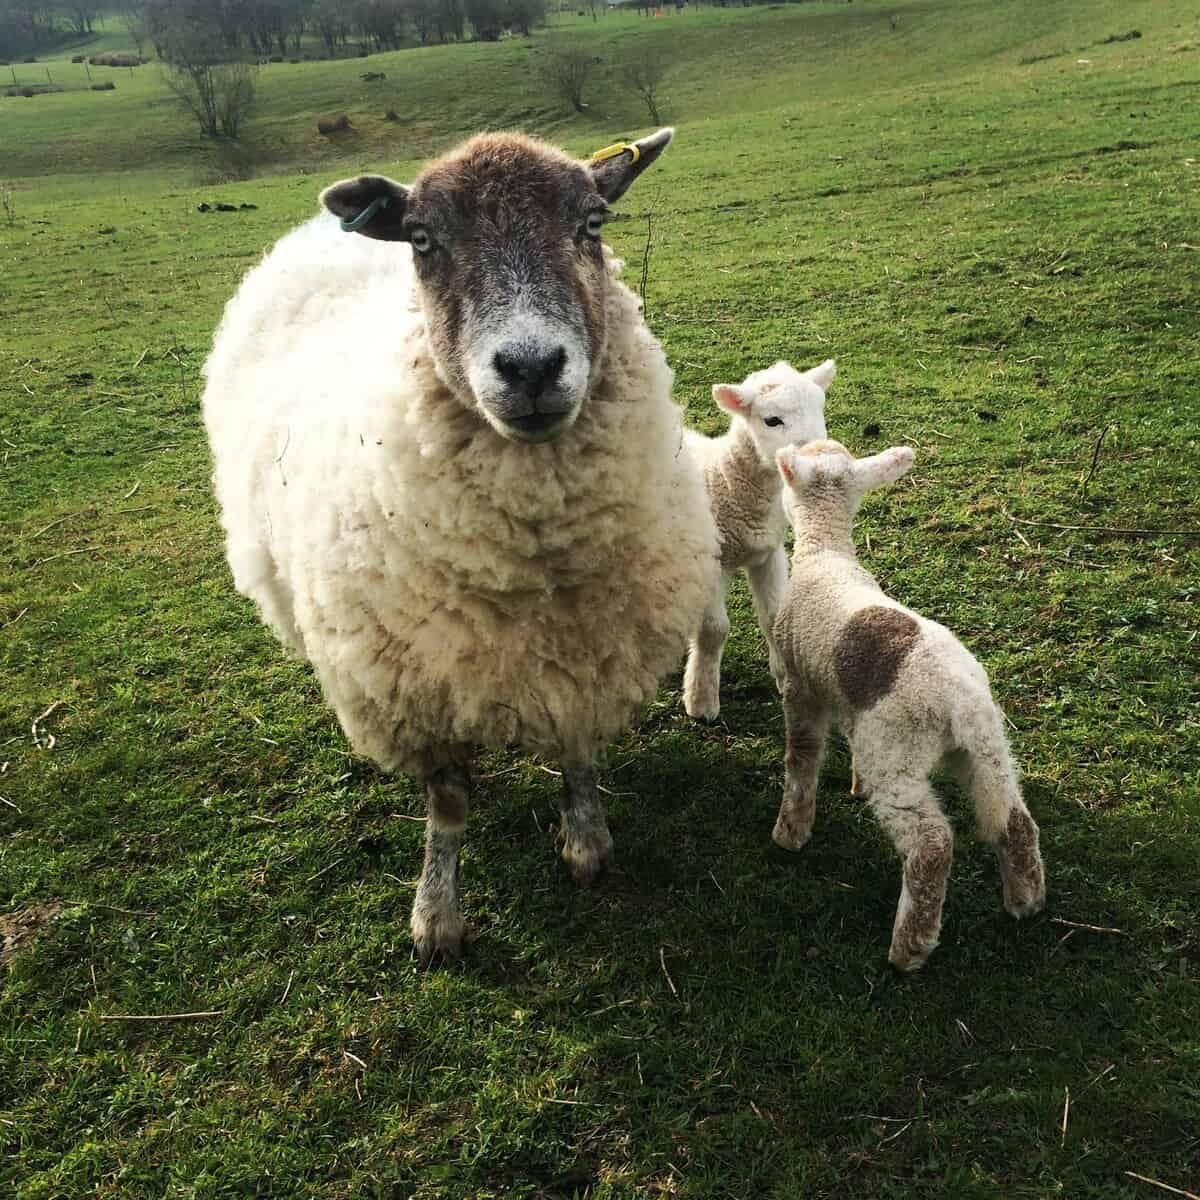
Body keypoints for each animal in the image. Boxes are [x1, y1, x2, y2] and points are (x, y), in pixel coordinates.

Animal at [201, 129, 720, 965]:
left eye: (593, 223)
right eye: (422, 240)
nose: (532, 366)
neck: (534, 559)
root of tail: (316, 231)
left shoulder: (588, 653)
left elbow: (578, 753)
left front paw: (586, 845)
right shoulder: (415, 688)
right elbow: (446, 805)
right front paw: (436, 915)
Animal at [681, 359, 834, 721]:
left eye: (820, 408)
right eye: (772, 420)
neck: (723, 479)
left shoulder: (769, 552)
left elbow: (774, 615)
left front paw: (785, 678)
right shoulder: (712, 559)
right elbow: (713, 629)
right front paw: (701, 700)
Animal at [770, 439, 1045, 971]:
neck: (826, 554)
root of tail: (960, 702)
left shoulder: (799, 685)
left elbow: (802, 756)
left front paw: (790, 832)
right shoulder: (849, 703)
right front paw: (853, 785)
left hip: (898, 753)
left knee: (932, 844)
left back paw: (909, 948)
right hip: (988, 748)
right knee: (1014, 818)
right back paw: (1025, 900)